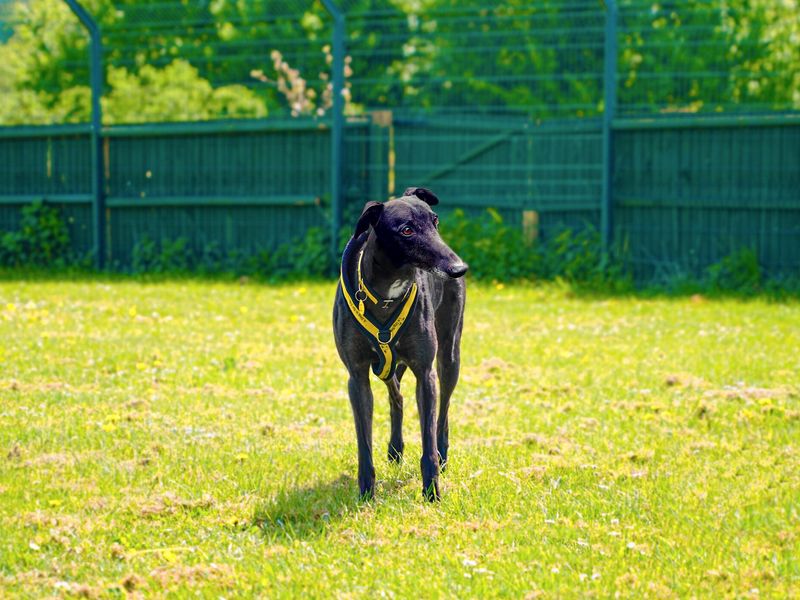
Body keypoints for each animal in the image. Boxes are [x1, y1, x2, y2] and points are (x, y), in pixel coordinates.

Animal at [332, 188, 468, 502]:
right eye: (406, 230)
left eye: (435, 221)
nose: (459, 268)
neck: (385, 293)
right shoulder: (357, 377)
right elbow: (364, 443)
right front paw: (366, 494)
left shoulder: (425, 372)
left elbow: (428, 437)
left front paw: (431, 493)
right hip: (386, 366)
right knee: (397, 397)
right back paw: (395, 449)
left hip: (448, 356)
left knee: (443, 409)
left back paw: (443, 454)